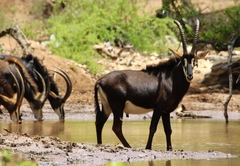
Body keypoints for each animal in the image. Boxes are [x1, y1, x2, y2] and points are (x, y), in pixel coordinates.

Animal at [94, 19, 208, 150]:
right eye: (183, 60)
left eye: (195, 61)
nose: (190, 76)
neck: (171, 78)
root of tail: (100, 80)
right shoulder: (158, 108)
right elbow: (153, 128)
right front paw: (148, 147)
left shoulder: (166, 111)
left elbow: (168, 130)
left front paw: (169, 148)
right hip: (117, 107)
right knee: (116, 127)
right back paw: (128, 146)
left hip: (107, 106)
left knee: (99, 122)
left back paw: (100, 144)